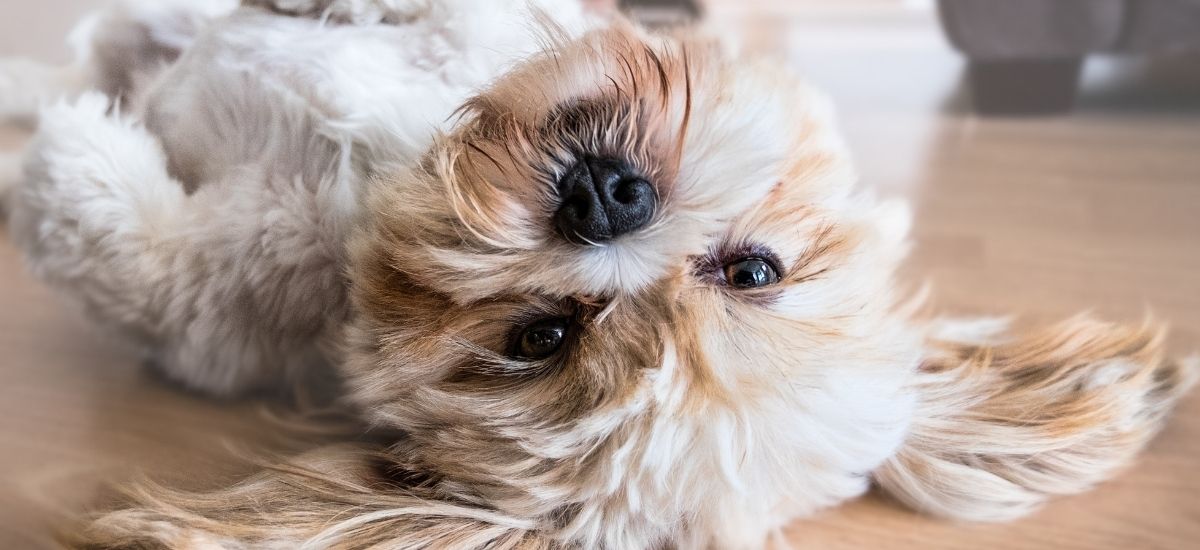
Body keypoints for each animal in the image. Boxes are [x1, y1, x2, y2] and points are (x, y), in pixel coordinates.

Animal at [0, 1, 1195, 550]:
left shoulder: (219, 307)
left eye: (540, 338)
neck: (382, 171)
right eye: (753, 269)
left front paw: (67, 158)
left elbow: (131, 249)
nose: (605, 198)